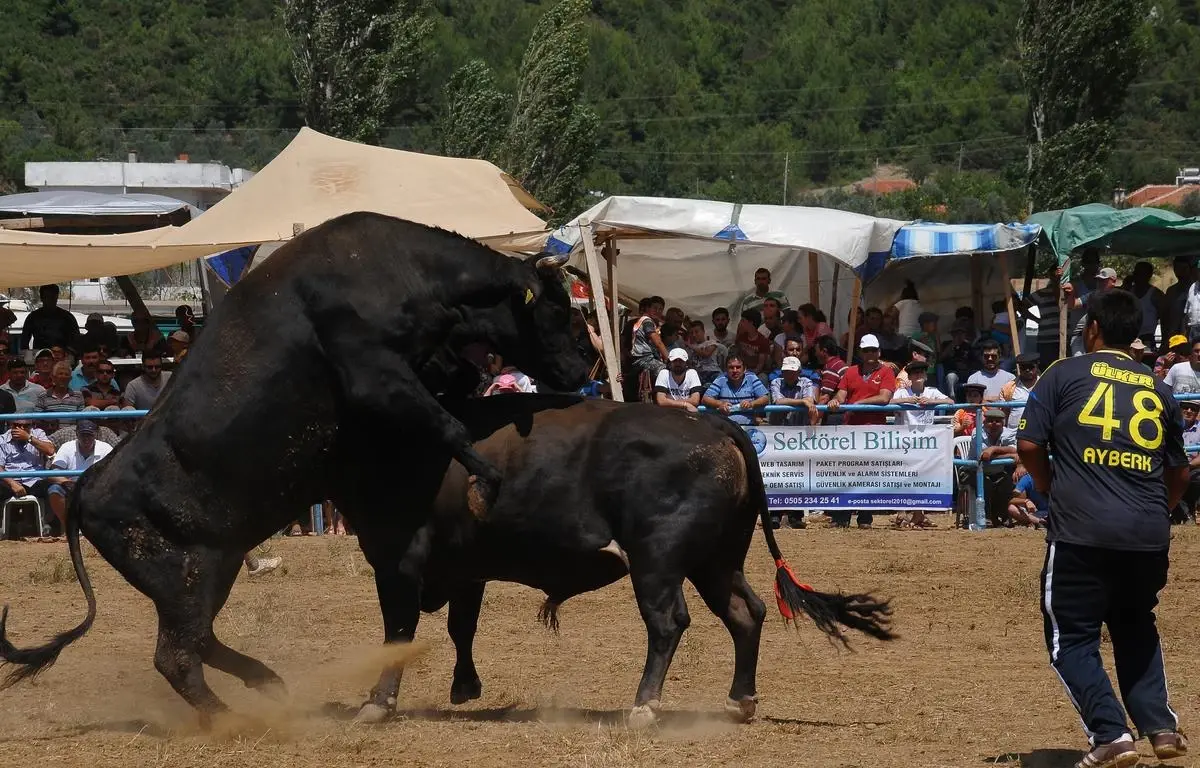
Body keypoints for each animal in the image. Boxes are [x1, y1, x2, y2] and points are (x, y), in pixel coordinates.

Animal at [0, 210, 590, 720]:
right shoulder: (376, 374)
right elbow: (449, 425)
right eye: (557, 310)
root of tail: (89, 484)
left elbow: (456, 387)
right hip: (187, 576)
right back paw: (232, 718)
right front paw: (484, 482)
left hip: (209, 571)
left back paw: (265, 683)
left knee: (199, 642)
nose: (585, 368)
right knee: (178, 654)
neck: (396, 267)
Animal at [350, 396, 897, 724]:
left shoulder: (399, 562)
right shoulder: (467, 569)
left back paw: (645, 705)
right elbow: (461, 625)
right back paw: (740, 700)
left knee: (669, 622)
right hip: (716, 560)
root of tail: (713, 422)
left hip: (658, 559)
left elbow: (399, 629)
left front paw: (378, 702)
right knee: (746, 611)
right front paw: (464, 688)